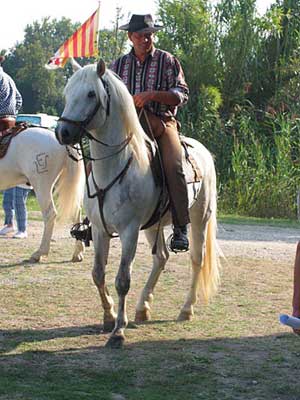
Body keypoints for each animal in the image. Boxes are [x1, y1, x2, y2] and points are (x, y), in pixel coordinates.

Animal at [56, 59, 220, 346]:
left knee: (196, 259)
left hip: (200, 218)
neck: (115, 167)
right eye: (67, 93)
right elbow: (98, 274)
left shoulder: (129, 231)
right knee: (162, 257)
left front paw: (118, 331)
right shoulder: (99, 230)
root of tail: (203, 152)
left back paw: (186, 309)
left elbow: (122, 279)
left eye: (91, 94)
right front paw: (108, 316)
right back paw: (143, 308)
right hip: (154, 226)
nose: (62, 132)